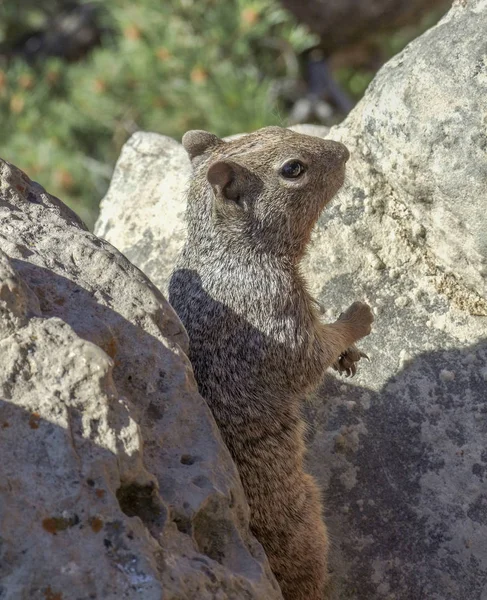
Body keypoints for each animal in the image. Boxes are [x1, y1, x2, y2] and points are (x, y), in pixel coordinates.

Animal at [168, 126, 374, 600]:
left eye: (276, 129)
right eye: (292, 169)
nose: (344, 151)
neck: (228, 250)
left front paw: (347, 355)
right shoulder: (275, 309)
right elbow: (308, 358)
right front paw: (358, 318)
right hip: (303, 527)